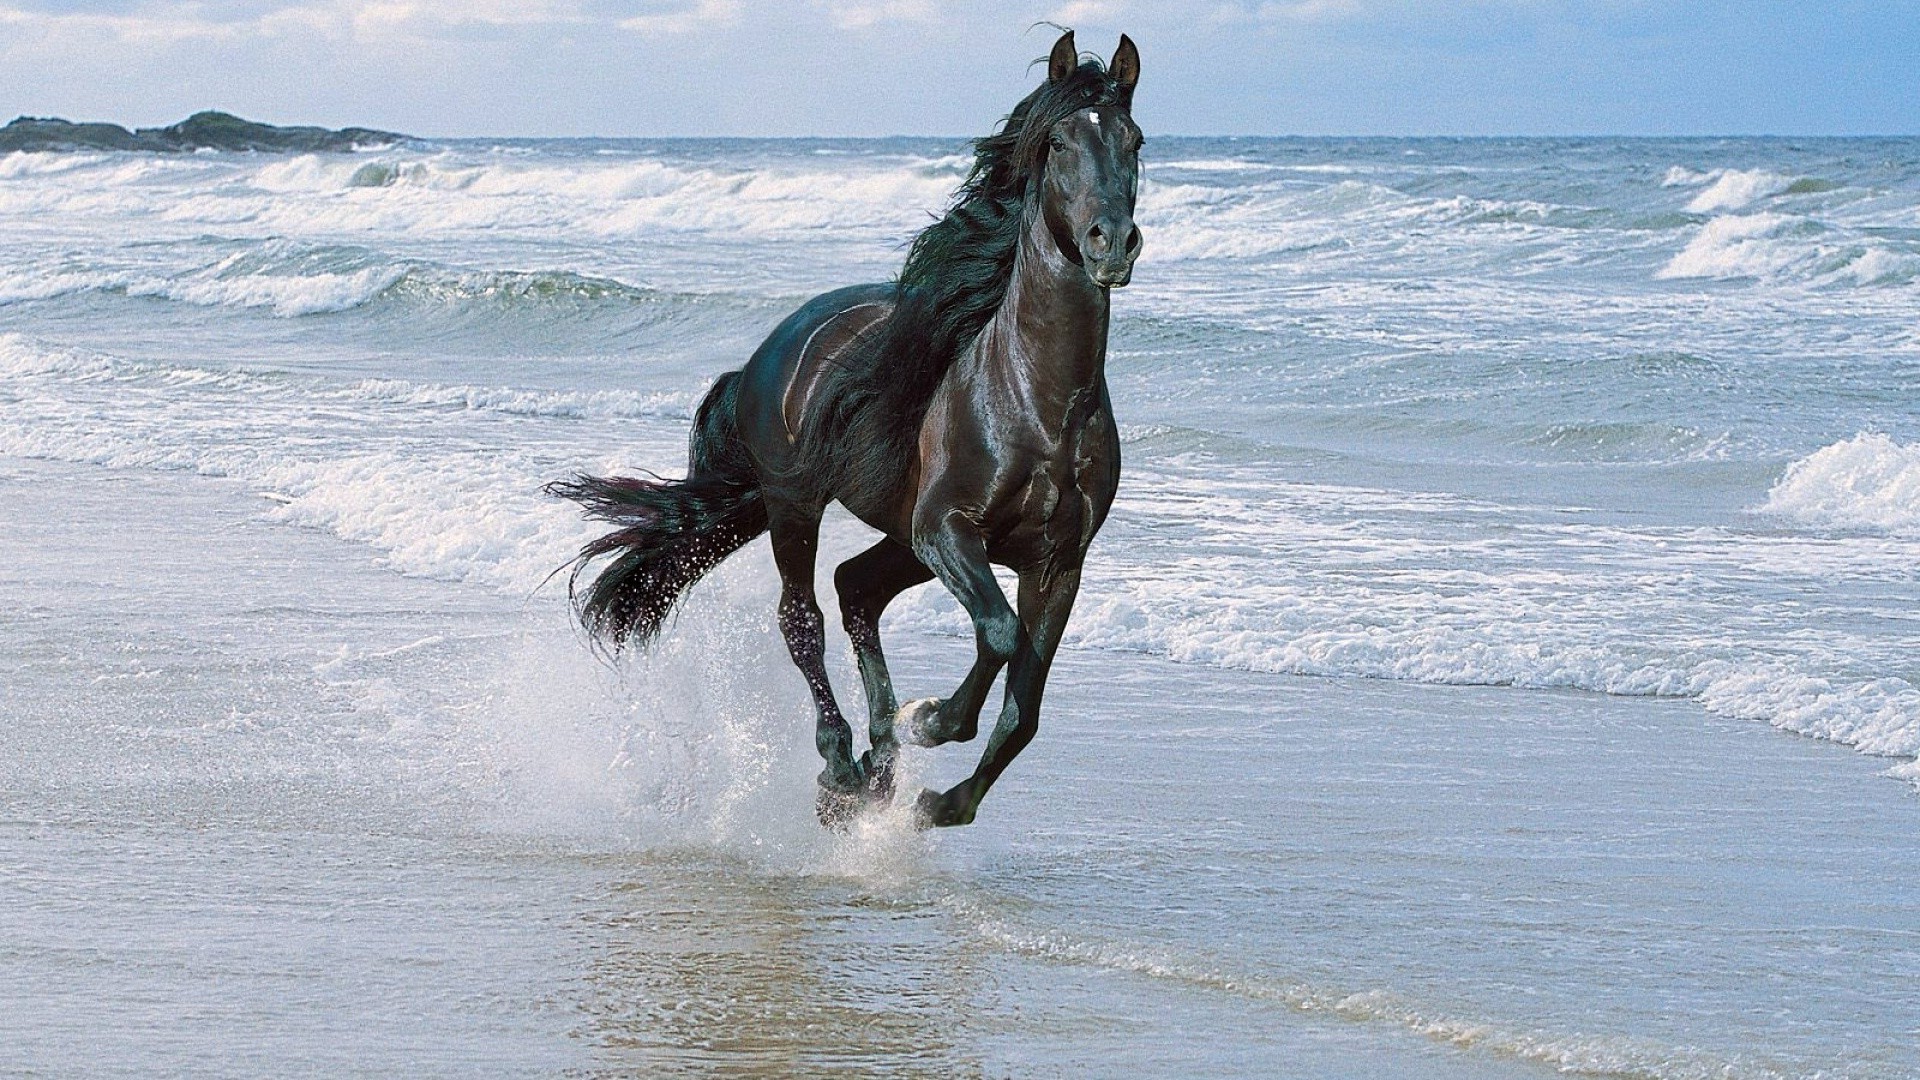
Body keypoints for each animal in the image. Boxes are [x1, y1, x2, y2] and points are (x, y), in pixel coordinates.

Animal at [549, 31, 1136, 822]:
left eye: (1134, 141)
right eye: (1061, 142)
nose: (1113, 243)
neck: (1038, 405)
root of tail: (774, 347)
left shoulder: (1057, 563)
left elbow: (1024, 709)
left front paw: (936, 803)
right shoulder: (947, 528)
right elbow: (999, 634)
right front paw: (930, 720)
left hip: (899, 537)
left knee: (856, 588)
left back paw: (879, 762)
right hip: (798, 506)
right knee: (803, 618)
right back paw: (843, 765)